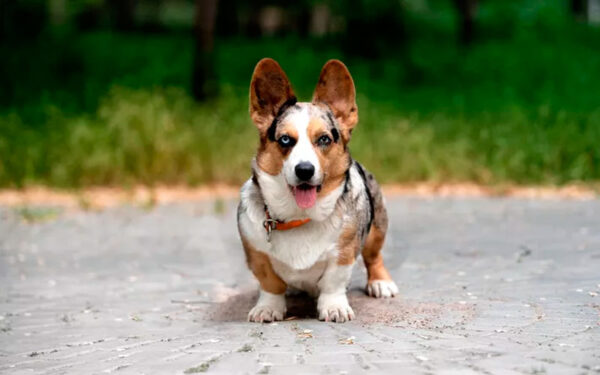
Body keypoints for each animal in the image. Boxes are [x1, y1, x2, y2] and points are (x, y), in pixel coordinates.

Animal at [236, 58, 398, 324]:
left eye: (324, 139)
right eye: (285, 140)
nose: (305, 170)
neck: (299, 217)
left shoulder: (343, 252)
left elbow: (333, 282)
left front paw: (334, 307)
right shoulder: (256, 253)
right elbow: (270, 284)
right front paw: (267, 308)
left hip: (376, 228)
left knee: (374, 256)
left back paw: (381, 283)